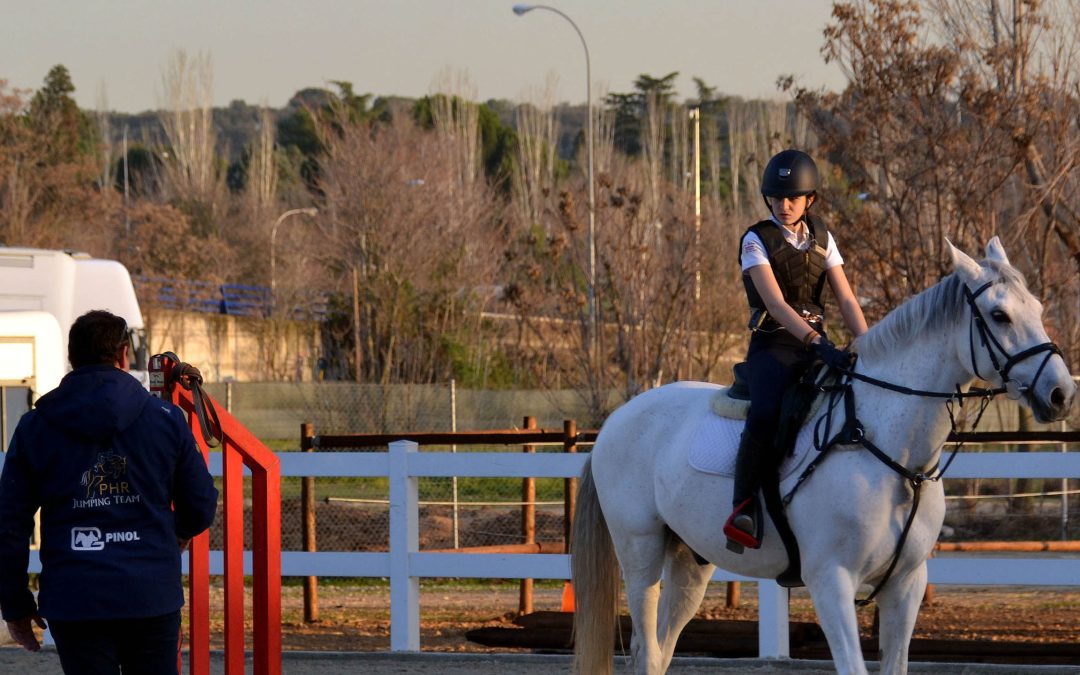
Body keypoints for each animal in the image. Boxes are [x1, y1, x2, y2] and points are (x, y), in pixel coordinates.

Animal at [570, 238, 1075, 673]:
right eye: (999, 315)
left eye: (1038, 309)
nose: (1061, 394)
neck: (889, 450)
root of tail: (616, 420)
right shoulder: (831, 581)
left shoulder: (906, 585)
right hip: (640, 551)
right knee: (647, 648)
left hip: (690, 562)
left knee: (660, 648)